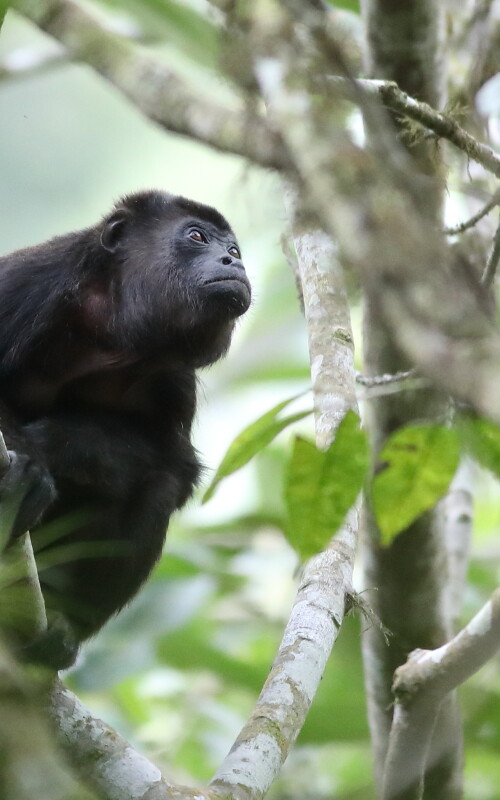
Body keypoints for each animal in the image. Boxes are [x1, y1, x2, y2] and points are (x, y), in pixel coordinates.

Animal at [0, 190, 251, 667]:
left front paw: (67, 443)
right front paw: (28, 466)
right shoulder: (28, 284)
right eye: (197, 236)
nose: (234, 262)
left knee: (159, 486)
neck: (111, 336)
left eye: (233, 248)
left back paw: (62, 626)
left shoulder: (173, 376)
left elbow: (176, 465)